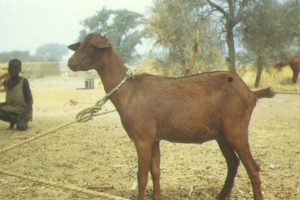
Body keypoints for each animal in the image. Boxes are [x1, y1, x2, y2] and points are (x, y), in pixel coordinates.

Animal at [67, 33, 274, 200]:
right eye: (80, 44)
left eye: (92, 46)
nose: (70, 62)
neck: (128, 90)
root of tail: (251, 93)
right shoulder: (154, 138)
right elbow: (156, 172)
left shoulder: (142, 138)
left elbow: (141, 177)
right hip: (222, 134)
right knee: (233, 163)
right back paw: (220, 196)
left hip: (236, 129)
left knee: (253, 168)